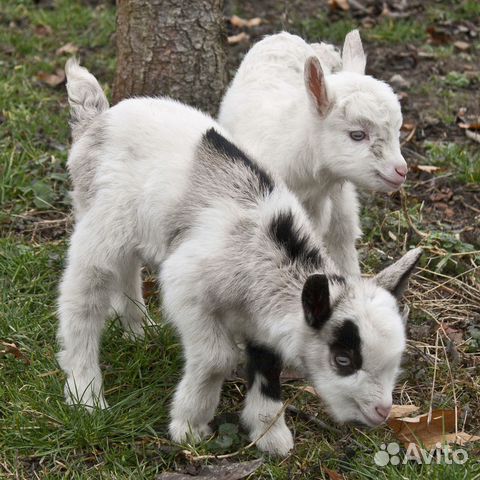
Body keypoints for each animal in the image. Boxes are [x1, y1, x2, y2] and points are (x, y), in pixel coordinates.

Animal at [59, 59, 420, 454]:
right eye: (343, 359)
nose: (382, 411)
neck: (266, 250)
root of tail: (97, 120)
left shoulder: (263, 318)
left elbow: (267, 364)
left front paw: (270, 434)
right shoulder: (187, 287)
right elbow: (218, 358)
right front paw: (189, 427)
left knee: (127, 269)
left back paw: (139, 330)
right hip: (101, 223)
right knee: (82, 300)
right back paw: (86, 397)